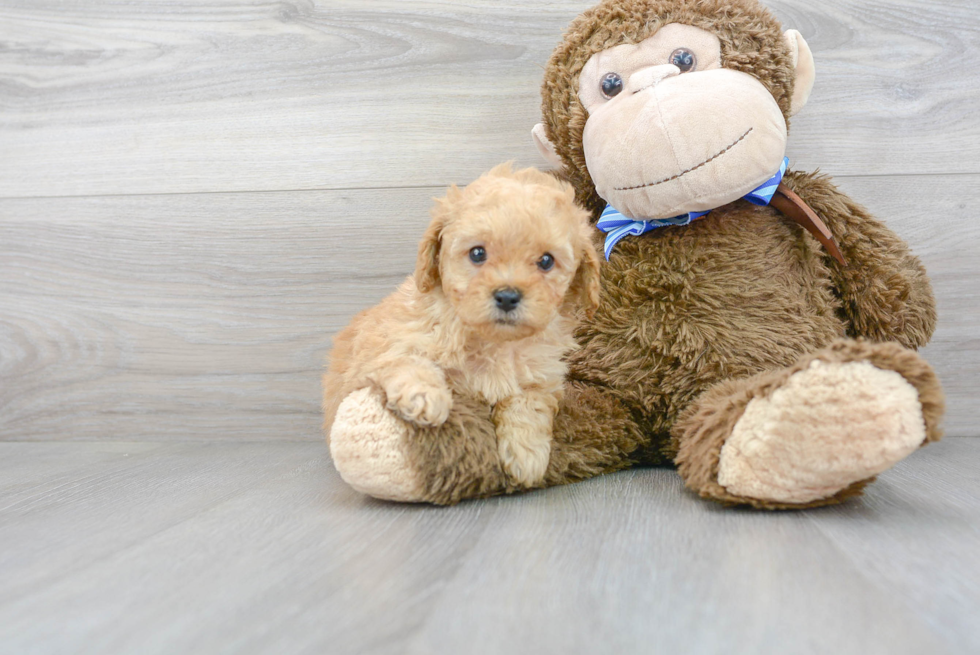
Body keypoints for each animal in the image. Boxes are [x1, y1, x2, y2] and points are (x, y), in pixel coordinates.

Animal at [324, 163, 596, 486]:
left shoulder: (541, 376)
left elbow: (529, 403)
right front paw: (425, 396)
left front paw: (527, 455)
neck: (492, 341)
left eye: (546, 261)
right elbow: (408, 360)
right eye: (478, 253)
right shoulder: (386, 345)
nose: (507, 296)